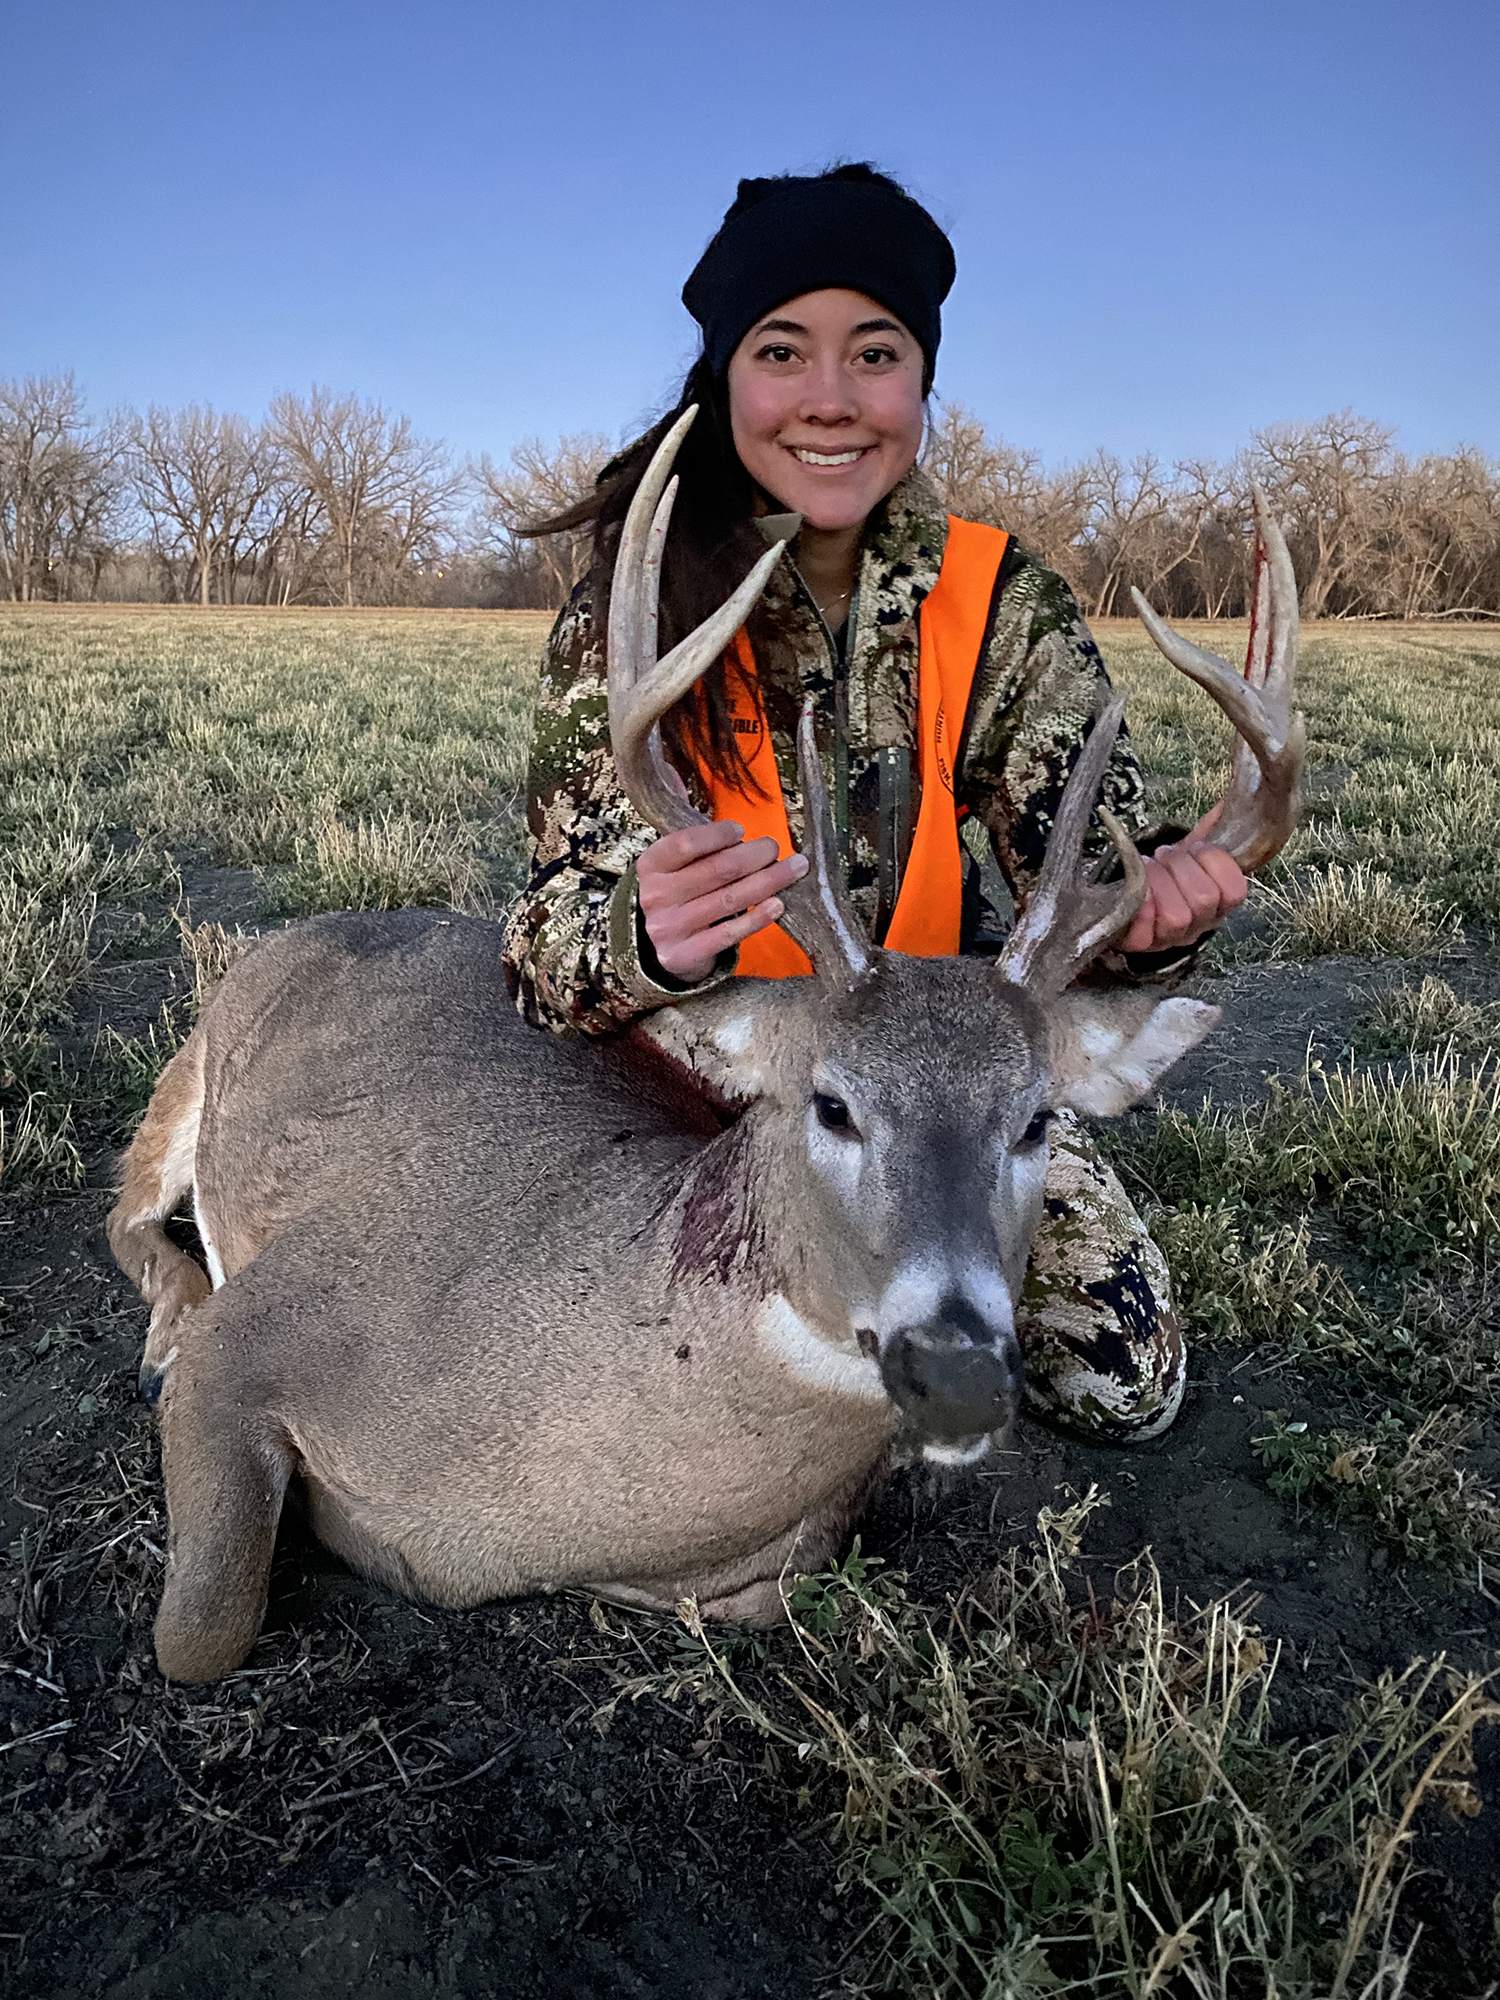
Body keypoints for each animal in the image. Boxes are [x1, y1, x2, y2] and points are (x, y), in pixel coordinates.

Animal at [107, 410, 1303, 1682]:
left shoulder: (769, 1565)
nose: (959, 1369)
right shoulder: (265, 1328)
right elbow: (200, 1629)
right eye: (831, 1102)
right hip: (190, 1064)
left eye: (1035, 1118)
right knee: (128, 1214)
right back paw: (162, 1324)